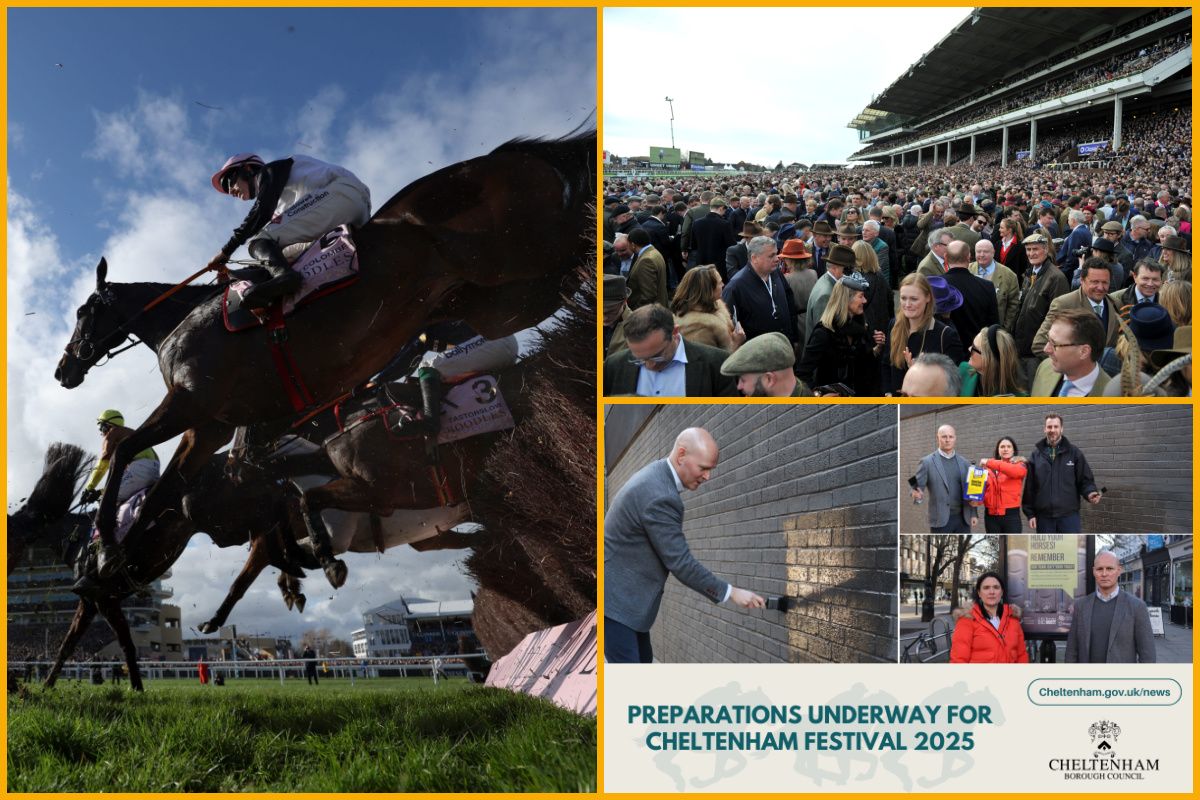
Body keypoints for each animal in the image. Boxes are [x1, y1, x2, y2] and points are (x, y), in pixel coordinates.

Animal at [52, 131, 595, 582]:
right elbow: (166, 492)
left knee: (594, 238)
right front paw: (116, 556)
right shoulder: (208, 428)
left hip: (517, 254)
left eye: (82, 312)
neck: (182, 321)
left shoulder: (191, 402)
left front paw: (109, 548)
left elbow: (126, 449)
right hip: (500, 297)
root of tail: (501, 158)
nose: (63, 369)